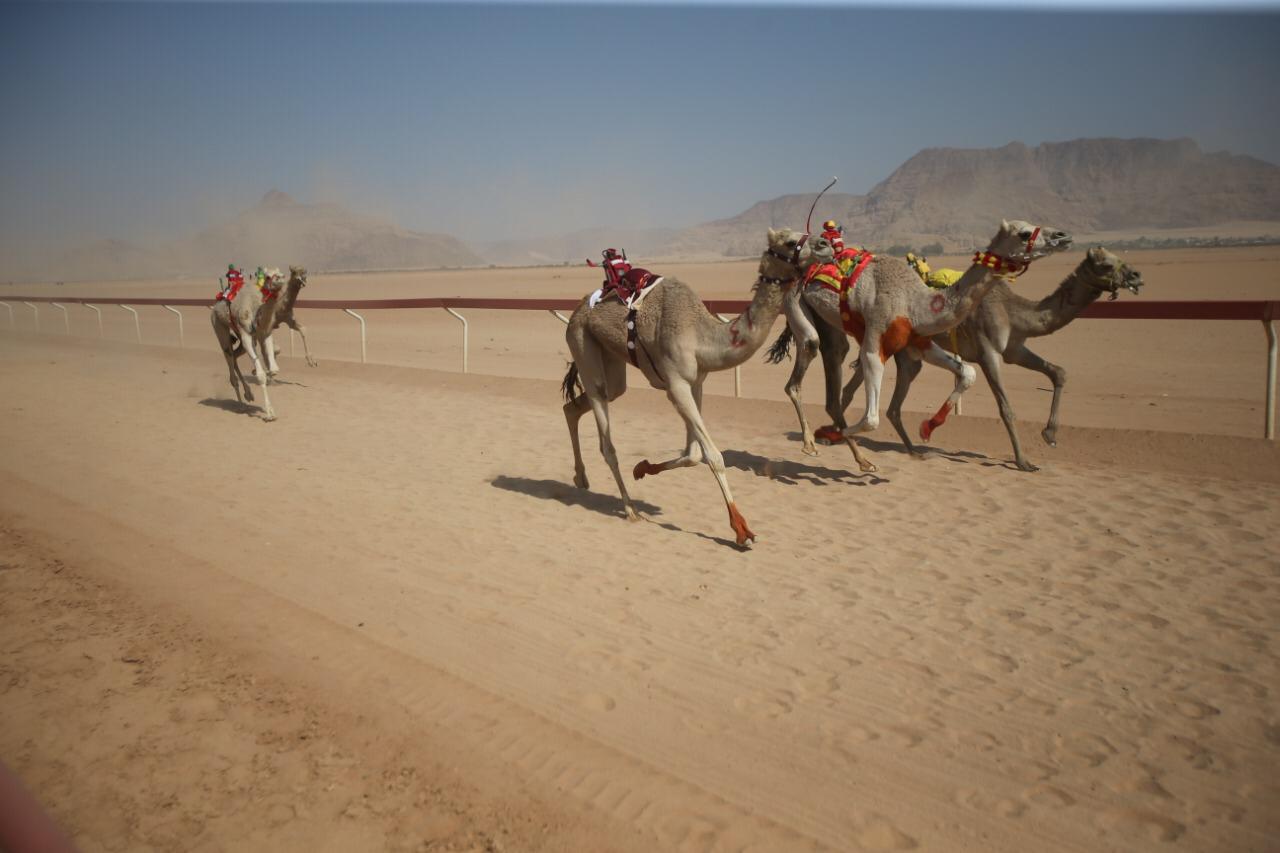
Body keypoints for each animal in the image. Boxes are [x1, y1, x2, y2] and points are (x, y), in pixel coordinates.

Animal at [560, 225, 860, 545]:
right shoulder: (675, 385)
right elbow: (713, 455)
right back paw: (629, 508)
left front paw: (642, 468)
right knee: (604, 431)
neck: (701, 334)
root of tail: (579, 309)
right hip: (581, 340)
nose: (825, 244)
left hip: (611, 361)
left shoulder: (697, 383)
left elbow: (692, 455)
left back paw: (581, 477)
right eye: (791, 241)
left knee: (580, 404)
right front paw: (741, 529)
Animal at [783, 217, 1075, 450]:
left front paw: (926, 428)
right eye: (1024, 233)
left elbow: (968, 373)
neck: (915, 303)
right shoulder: (875, 341)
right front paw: (830, 433)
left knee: (835, 352)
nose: (1064, 236)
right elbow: (871, 419)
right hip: (795, 300)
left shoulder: (918, 342)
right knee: (811, 347)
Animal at [834, 245, 1146, 471]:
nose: (1136, 276)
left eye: (1119, 258)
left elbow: (1058, 371)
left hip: (905, 351)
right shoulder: (988, 353)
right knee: (860, 389)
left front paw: (1050, 435)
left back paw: (912, 449)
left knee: (885, 400)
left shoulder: (1014, 350)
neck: (1013, 312)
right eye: (1106, 264)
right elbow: (1006, 408)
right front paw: (1023, 461)